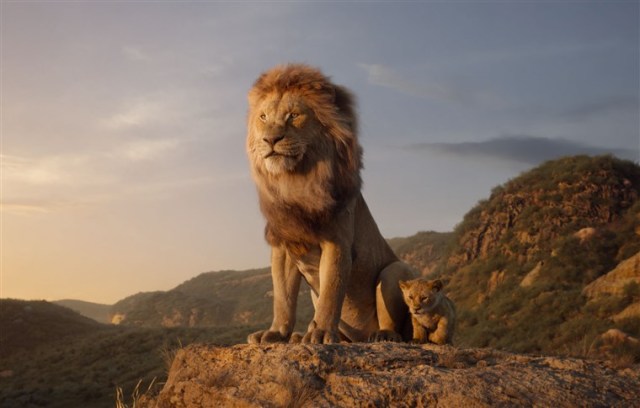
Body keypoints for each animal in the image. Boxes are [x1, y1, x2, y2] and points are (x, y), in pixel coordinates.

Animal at [245, 64, 417, 344]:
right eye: (263, 117)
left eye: (293, 115)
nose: (270, 139)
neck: (296, 181)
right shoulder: (284, 246)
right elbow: (283, 298)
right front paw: (276, 333)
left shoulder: (337, 241)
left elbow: (331, 292)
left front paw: (322, 333)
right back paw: (300, 336)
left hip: (395, 270)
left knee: (396, 325)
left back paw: (382, 335)